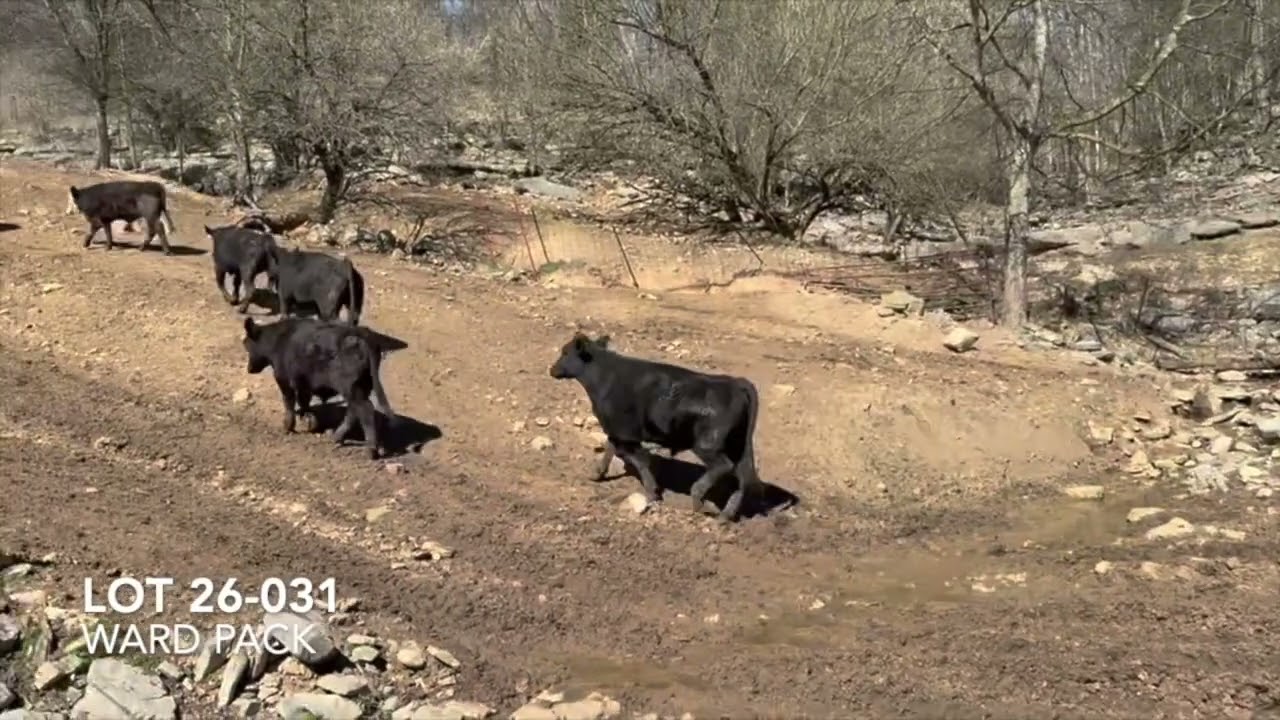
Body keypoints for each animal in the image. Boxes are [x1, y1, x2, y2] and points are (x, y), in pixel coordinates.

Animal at [241, 317, 406, 459]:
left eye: (247, 345)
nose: (249, 369)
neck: (278, 340)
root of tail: (361, 335)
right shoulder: (303, 382)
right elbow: (304, 401)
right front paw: (309, 421)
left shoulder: (283, 379)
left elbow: (289, 402)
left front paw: (288, 426)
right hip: (361, 386)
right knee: (354, 411)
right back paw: (337, 437)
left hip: (351, 388)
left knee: (365, 411)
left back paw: (370, 450)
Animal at [548, 333, 763, 523]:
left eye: (565, 352)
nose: (552, 370)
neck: (605, 376)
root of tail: (735, 383)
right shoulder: (617, 431)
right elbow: (610, 450)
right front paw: (596, 474)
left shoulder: (627, 435)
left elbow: (640, 461)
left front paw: (652, 493)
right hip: (738, 446)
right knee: (742, 477)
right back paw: (725, 515)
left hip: (708, 445)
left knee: (724, 466)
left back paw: (697, 498)